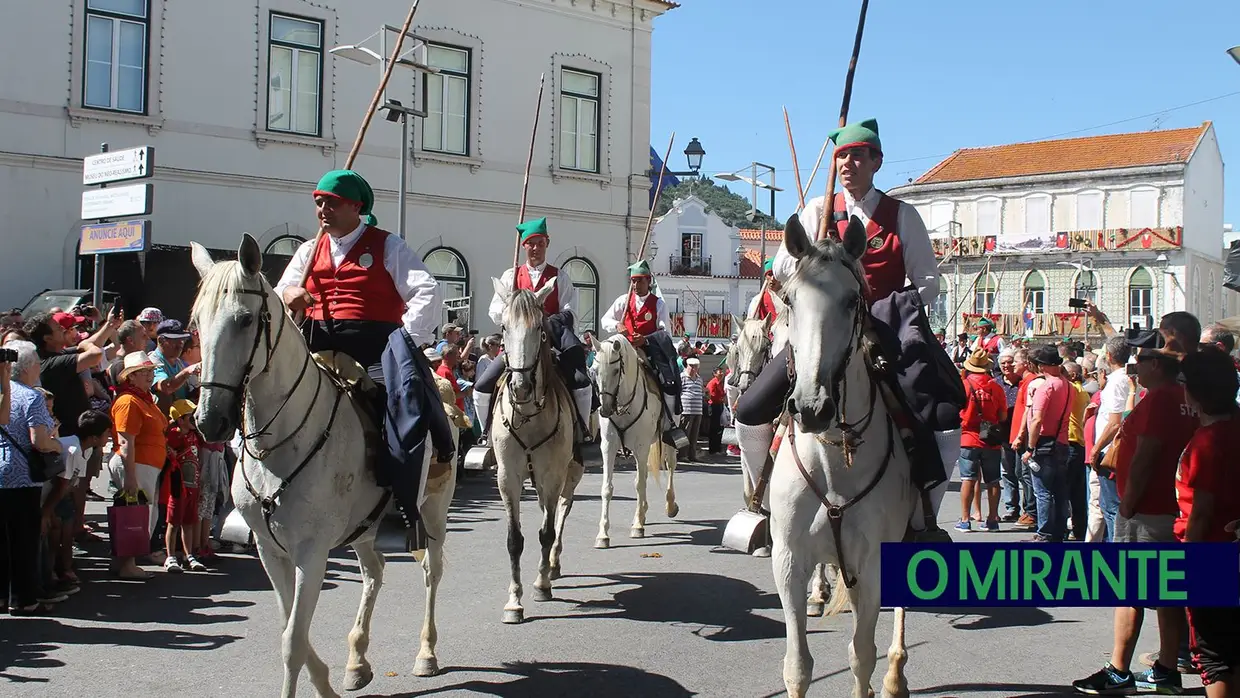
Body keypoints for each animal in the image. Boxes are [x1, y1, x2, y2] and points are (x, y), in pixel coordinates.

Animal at [188, 238, 451, 694]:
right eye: (197, 323)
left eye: (244, 319)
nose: (210, 422)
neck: (279, 446)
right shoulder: (268, 548)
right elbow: (289, 627)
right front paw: (326, 681)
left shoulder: (311, 552)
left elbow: (293, 641)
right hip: (365, 525)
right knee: (375, 570)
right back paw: (357, 660)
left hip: (432, 511)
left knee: (430, 572)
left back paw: (426, 653)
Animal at [486, 276, 582, 624]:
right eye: (503, 327)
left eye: (540, 327)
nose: (521, 386)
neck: (528, 415)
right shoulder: (508, 477)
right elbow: (515, 540)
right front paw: (514, 601)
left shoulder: (552, 474)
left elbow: (546, 532)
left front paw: (541, 585)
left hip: (568, 473)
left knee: (561, 512)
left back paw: (552, 565)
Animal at [590, 334, 679, 547]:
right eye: (594, 370)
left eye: (616, 370)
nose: (604, 409)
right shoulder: (609, 447)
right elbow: (607, 488)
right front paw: (603, 534)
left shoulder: (641, 446)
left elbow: (639, 484)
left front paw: (638, 526)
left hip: (666, 440)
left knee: (670, 465)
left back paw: (670, 505)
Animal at [768, 216, 917, 698]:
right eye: (790, 299)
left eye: (853, 301)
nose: (812, 407)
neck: (834, 461)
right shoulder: (789, 562)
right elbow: (798, 665)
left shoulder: (872, 567)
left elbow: (861, 656)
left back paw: (895, 675)